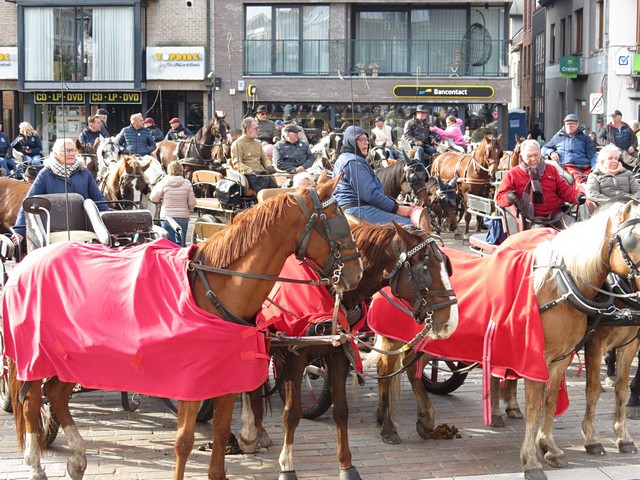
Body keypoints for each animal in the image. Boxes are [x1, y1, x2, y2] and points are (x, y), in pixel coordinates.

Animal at [5, 176, 362, 480]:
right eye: (336, 220)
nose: (356, 272)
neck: (215, 288)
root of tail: (28, 262)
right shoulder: (189, 381)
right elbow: (184, 441)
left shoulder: (226, 378)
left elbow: (220, 433)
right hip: (35, 356)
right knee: (32, 401)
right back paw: (35, 464)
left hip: (77, 358)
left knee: (56, 394)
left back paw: (78, 458)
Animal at [246, 214, 460, 480]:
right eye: (425, 269)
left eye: (447, 267)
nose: (450, 323)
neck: (327, 288)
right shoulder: (296, 356)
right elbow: (291, 413)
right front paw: (287, 466)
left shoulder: (338, 353)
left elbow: (341, 411)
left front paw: (347, 467)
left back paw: (257, 433)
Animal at [364, 200, 640, 480]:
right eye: (632, 240)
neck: (559, 287)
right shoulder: (544, 358)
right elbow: (539, 405)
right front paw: (532, 461)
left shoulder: (565, 358)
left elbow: (557, 400)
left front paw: (551, 448)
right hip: (392, 338)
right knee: (386, 371)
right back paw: (388, 426)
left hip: (437, 337)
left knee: (413, 366)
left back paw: (425, 419)